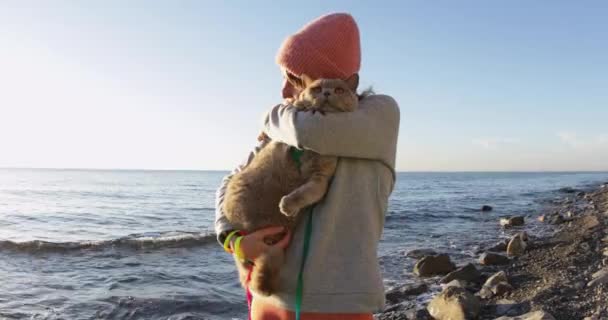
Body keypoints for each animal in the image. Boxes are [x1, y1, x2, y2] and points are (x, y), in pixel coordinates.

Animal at [223, 74, 358, 296]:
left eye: (339, 90)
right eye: (316, 88)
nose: (326, 93)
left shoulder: (320, 179)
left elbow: (305, 192)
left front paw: (288, 205)